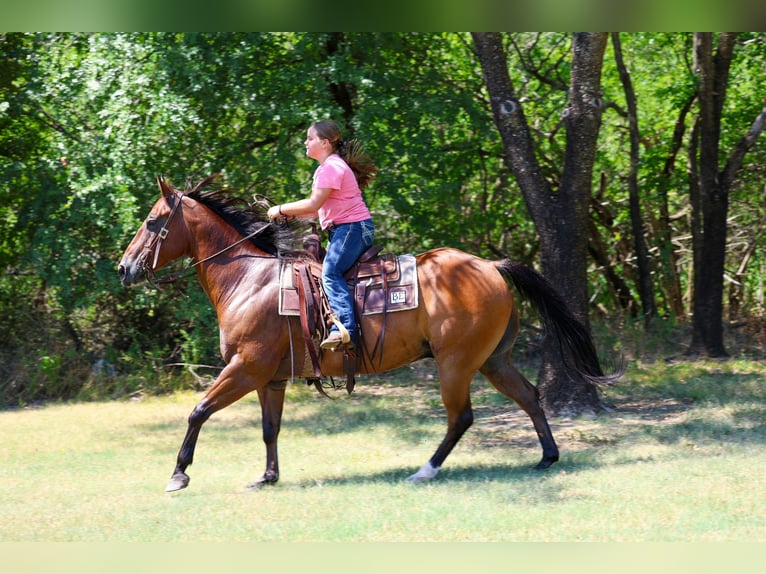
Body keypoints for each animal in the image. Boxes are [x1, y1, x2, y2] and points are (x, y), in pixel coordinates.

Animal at [118, 175, 618, 492]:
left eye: (152, 222)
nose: (124, 268)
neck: (247, 280)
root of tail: (491, 266)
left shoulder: (245, 367)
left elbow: (198, 411)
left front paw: (179, 475)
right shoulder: (270, 377)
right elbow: (269, 429)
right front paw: (267, 477)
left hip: (456, 363)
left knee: (461, 417)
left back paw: (425, 471)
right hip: (494, 359)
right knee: (529, 396)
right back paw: (547, 457)